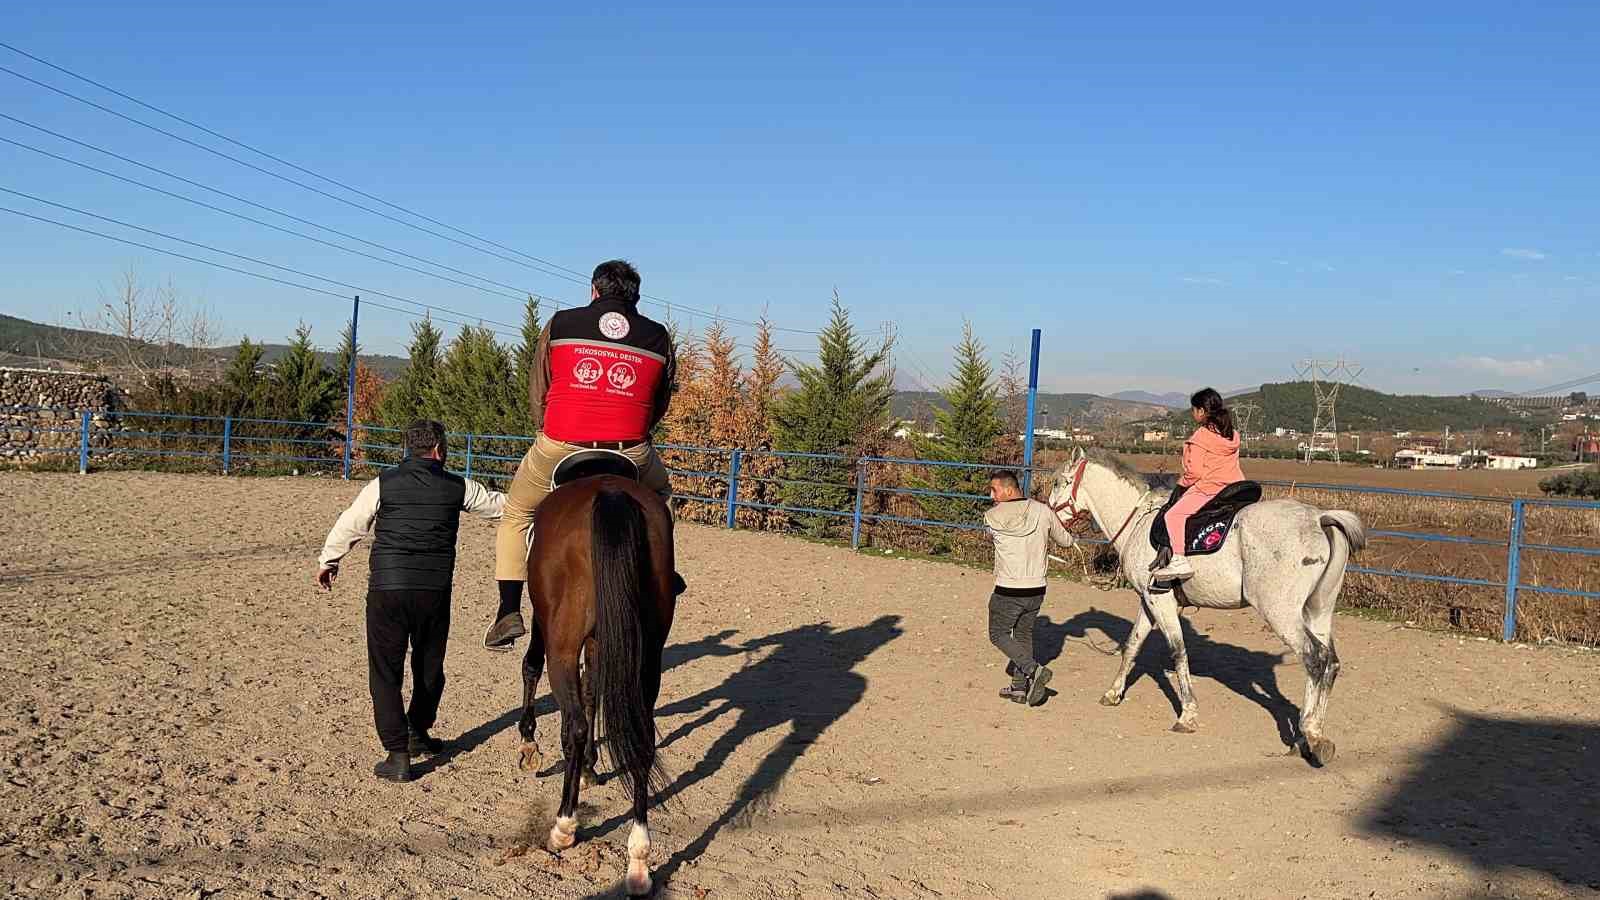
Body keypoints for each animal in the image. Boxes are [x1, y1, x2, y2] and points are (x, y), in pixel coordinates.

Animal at [515, 464, 672, 890]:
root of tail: (610, 492)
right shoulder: (603, 643)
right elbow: (592, 691)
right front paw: (589, 768)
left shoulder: (548, 628)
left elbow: (531, 666)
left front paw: (529, 742)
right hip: (647, 654)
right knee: (641, 736)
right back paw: (639, 858)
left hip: (563, 646)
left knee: (576, 726)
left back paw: (564, 826)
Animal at [1049, 448, 1363, 762]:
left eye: (1056, 482)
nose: (1051, 519)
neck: (1139, 521)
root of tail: (1319, 518)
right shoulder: (1149, 601)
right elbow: (1132, 645)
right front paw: (1114, 693)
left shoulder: (1160, 602)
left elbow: (1178, 652)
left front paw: (1187, 715)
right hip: (1318, 611)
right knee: (1330, 662)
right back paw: (1312, 736)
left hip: (1281, 614)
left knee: (1315, 658)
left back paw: (1308, 733)